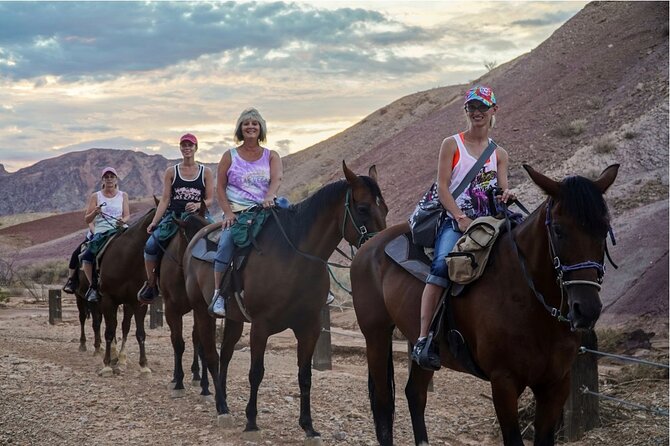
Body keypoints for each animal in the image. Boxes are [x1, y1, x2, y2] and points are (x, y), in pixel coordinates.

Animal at [97, 208, 156, 376]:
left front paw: (144, 366)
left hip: (127, 303)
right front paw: (106, 365)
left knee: (124, 326)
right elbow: (109, 331)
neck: (128, 258)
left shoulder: (138, 303)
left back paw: (121, 359)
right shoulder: (108, 299)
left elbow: (140, 333)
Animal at [186, 161, 392, 442]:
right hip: (202, 312)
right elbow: (256, 372)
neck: (295, 258)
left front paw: (308, 426)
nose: (379, 250)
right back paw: (222, 409)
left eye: (386, 208)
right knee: (210, 355)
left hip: (234, 320)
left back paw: (223, 401)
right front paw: (252, 422)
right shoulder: (261, 326)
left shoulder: (310, 327)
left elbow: (305, 375)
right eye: (362, 208)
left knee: (224, 356)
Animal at [352, 165, 620, 446]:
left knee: (415, 394)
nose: (587, 309)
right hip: (376, 335)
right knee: (383, 403)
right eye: (558, 229)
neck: (530, 302)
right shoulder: (503, 383)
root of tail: (368, 247)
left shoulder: (556, 384)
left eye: (604, 229)